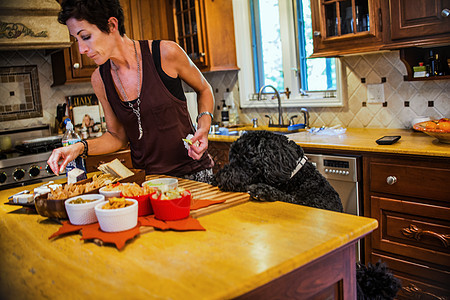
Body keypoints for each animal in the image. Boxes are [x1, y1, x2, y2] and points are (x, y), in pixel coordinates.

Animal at [214, 131, 400, 300]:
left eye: (244, 158)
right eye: (231, 157)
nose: (218, 178)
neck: (297, 179)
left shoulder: (310, 203)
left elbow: (286, 197)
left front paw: (263, 190)